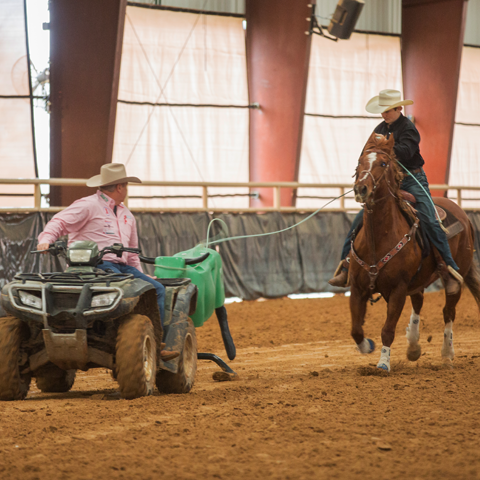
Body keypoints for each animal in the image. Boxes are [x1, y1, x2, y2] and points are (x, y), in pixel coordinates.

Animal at [348, 133, 480, 374]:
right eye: (359, 163)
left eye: (383, 163)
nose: (361, 189)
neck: (377, 240)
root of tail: (464, 216)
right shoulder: (357, 287)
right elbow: (356, 330)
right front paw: (367, 346)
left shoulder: (398, 289)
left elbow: (387, 329)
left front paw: (383, 363)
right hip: (418, 279)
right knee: (419, 302)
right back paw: (412, 345)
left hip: (455, 277)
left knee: (448, 312)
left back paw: (447, 355)